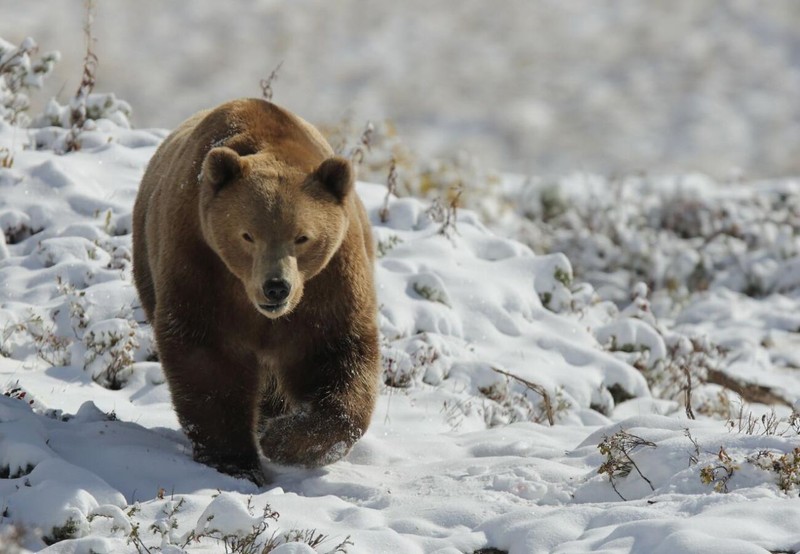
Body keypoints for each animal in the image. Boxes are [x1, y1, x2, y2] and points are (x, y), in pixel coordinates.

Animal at [132, 97, 382, 480]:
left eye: (302, 236)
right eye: (248, 235)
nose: (276, 287)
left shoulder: (329, 283)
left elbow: (337, 354)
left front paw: (286, 441)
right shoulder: (201, 263)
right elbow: (209, 360)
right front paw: (235, 459)